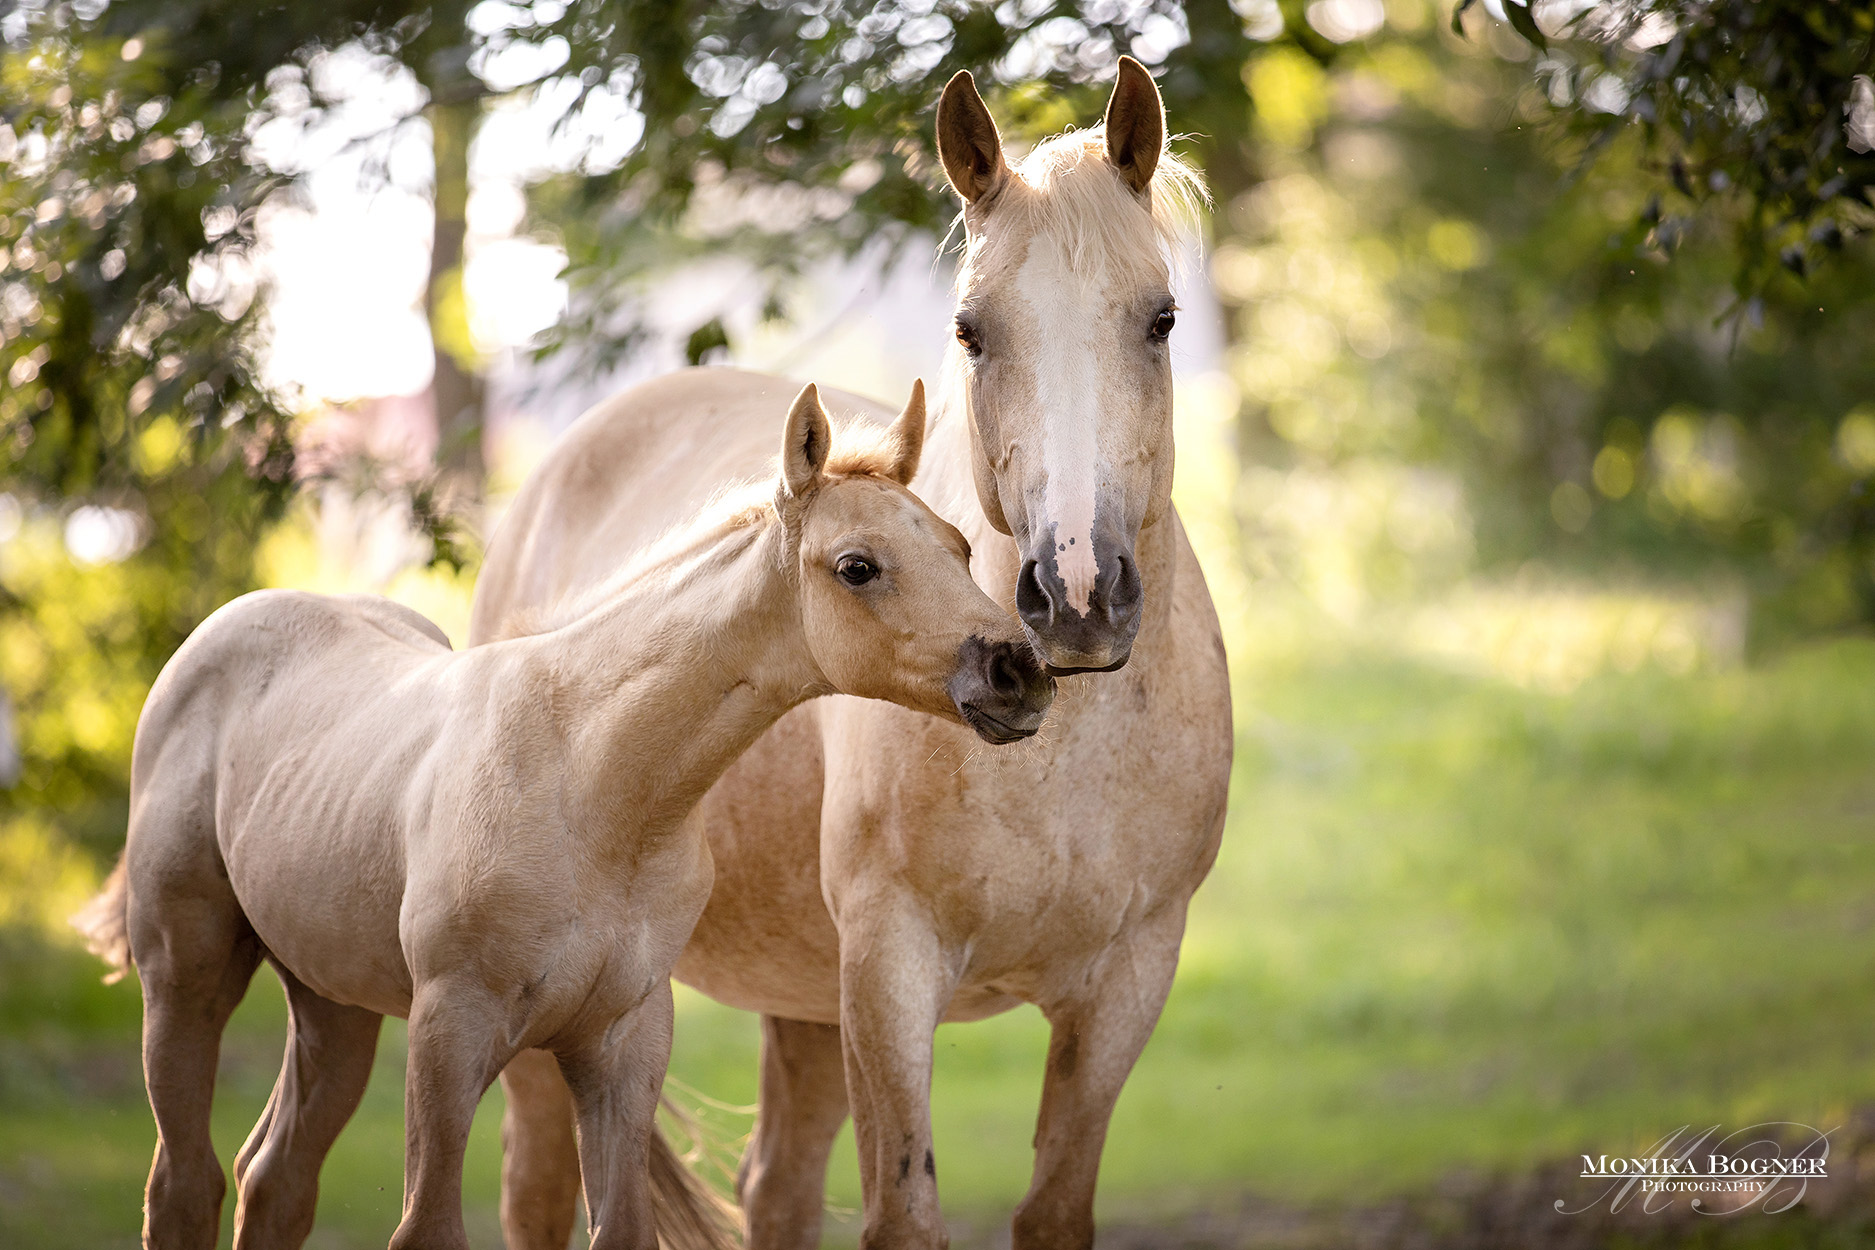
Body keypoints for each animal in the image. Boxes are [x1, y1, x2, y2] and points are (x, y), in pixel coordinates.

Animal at [74, 382, 1056, 1250]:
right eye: (857, 566)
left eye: (960, 546)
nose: (1018, 671)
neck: (592, 787)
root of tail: (223, 631)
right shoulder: (451, 1028)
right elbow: (426, 1230)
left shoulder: (621, 1043)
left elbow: (619, 1228)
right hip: (187, 972)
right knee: (185, 1183)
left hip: (332, 999)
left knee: (274, 1179)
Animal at [477, 57, 1233, 1249]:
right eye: (972, 329)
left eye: (1159, 319)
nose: (1075, 597)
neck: (1068, 762)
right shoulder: (889, 969)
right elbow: (904, 1211)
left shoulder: (1128, 980)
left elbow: (1054, 1207)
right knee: (539, 1186)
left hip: (800, 1000)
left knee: (775, 1187)